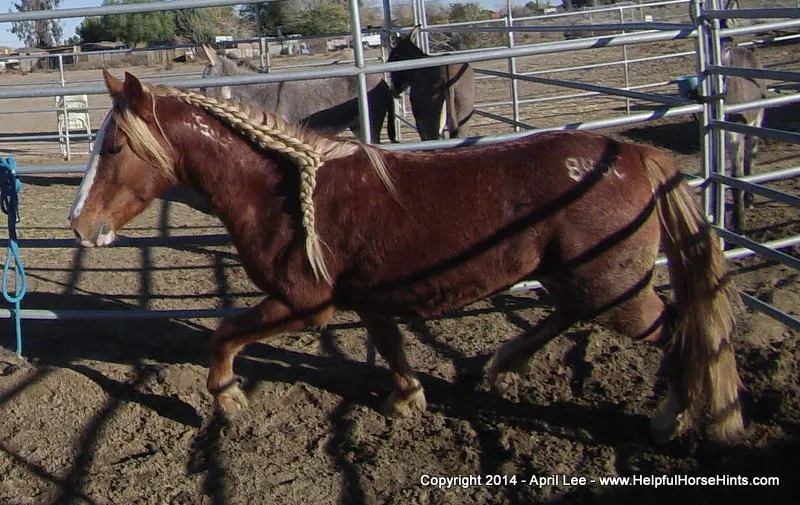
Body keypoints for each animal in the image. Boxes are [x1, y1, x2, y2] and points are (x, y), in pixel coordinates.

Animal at [69, 70, 744, 444]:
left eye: (114, 146)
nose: (80, 225)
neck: (279, 191)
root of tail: (634, 154)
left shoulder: (305, 303)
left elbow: (224, 334)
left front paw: (229, 400)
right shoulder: (369, 299)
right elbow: (391, 346)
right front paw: (408, 399)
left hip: (615, 292)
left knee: (680, 328)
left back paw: (671, 417)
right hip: (580, 281)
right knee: (570, 315)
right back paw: (502, 362)